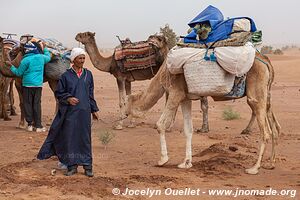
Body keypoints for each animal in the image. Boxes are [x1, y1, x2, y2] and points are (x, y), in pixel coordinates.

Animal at [126, 53, 282, 175]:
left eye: (124, 106)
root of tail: (266, 62)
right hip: (266, 95)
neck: (163, 73)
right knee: (275, 127)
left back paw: (254, 168)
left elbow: (160, 124)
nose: (124, 117)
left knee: (265, 131)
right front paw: (186, 163)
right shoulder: (185, 98)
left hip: (256, 94)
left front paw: (162, 160)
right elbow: (188, 130)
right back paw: (270, 164)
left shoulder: (175, 93)